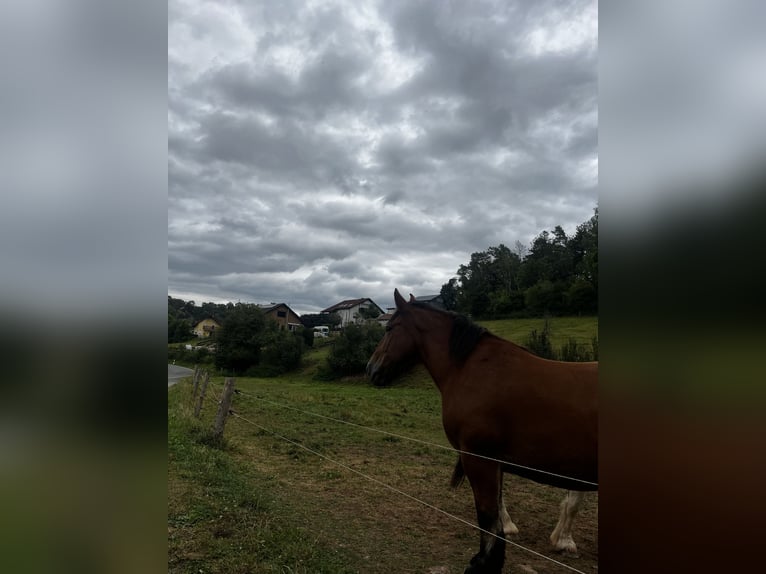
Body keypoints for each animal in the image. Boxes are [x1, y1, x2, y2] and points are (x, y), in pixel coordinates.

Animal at [368, 292, 600, 574]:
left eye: (389, 328)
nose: (370, 368)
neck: (472, 369)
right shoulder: (492, 462)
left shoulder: (480, 459)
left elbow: (488, 517)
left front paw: (484, 563)